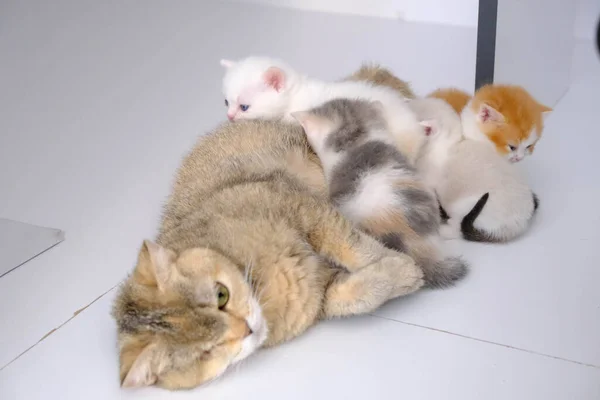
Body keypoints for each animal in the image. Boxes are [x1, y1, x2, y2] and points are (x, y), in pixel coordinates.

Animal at [111, 119, 422, 390]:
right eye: (208, 352)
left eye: (221, 295)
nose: (248, 329)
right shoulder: (320, 296)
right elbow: (355, 296)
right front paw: (401, 274)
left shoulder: (305, 209)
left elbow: (352, 245)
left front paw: (404, 265)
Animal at [408, 97, 540, 241]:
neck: (447, 144)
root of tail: (518, 226)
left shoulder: (430, 182)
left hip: (464, 205)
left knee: (457, 228)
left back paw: (443, 229)